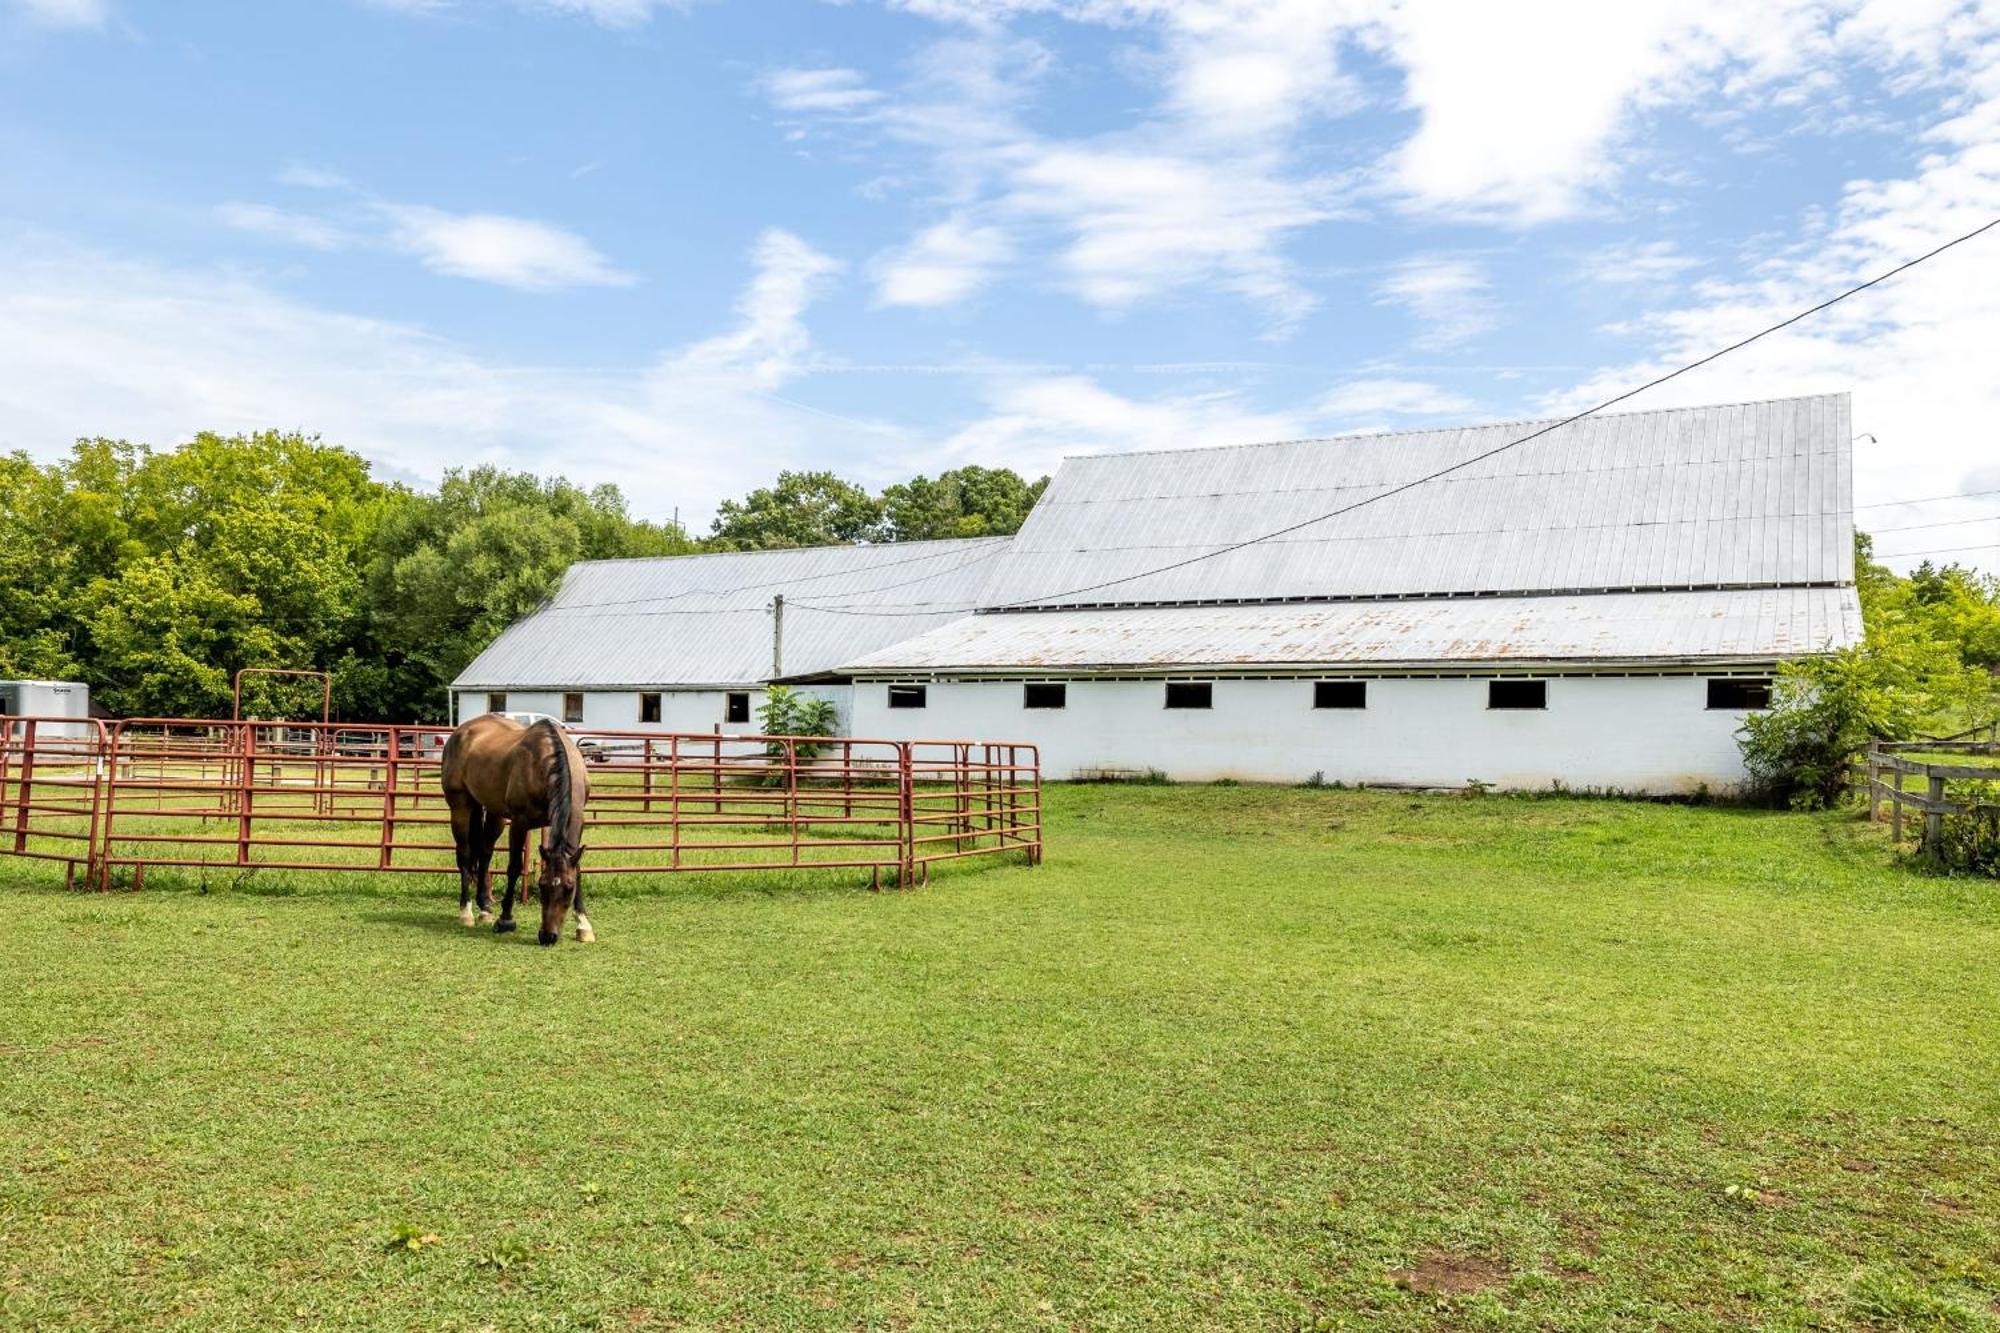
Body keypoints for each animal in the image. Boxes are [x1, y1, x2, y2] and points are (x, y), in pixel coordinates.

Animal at [440, 712, 588, 940]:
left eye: (569, 888)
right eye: (542, 885)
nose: (548, 937)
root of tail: (461, 731)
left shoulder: (577, 821)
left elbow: (577, 868)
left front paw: (583, 923)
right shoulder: (519, 823)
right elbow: (514, 867)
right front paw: (505, 920)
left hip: (494, 812)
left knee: (485, 852)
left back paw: (485, 908)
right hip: (460, 806)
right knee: (465, 855)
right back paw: (466, 912)